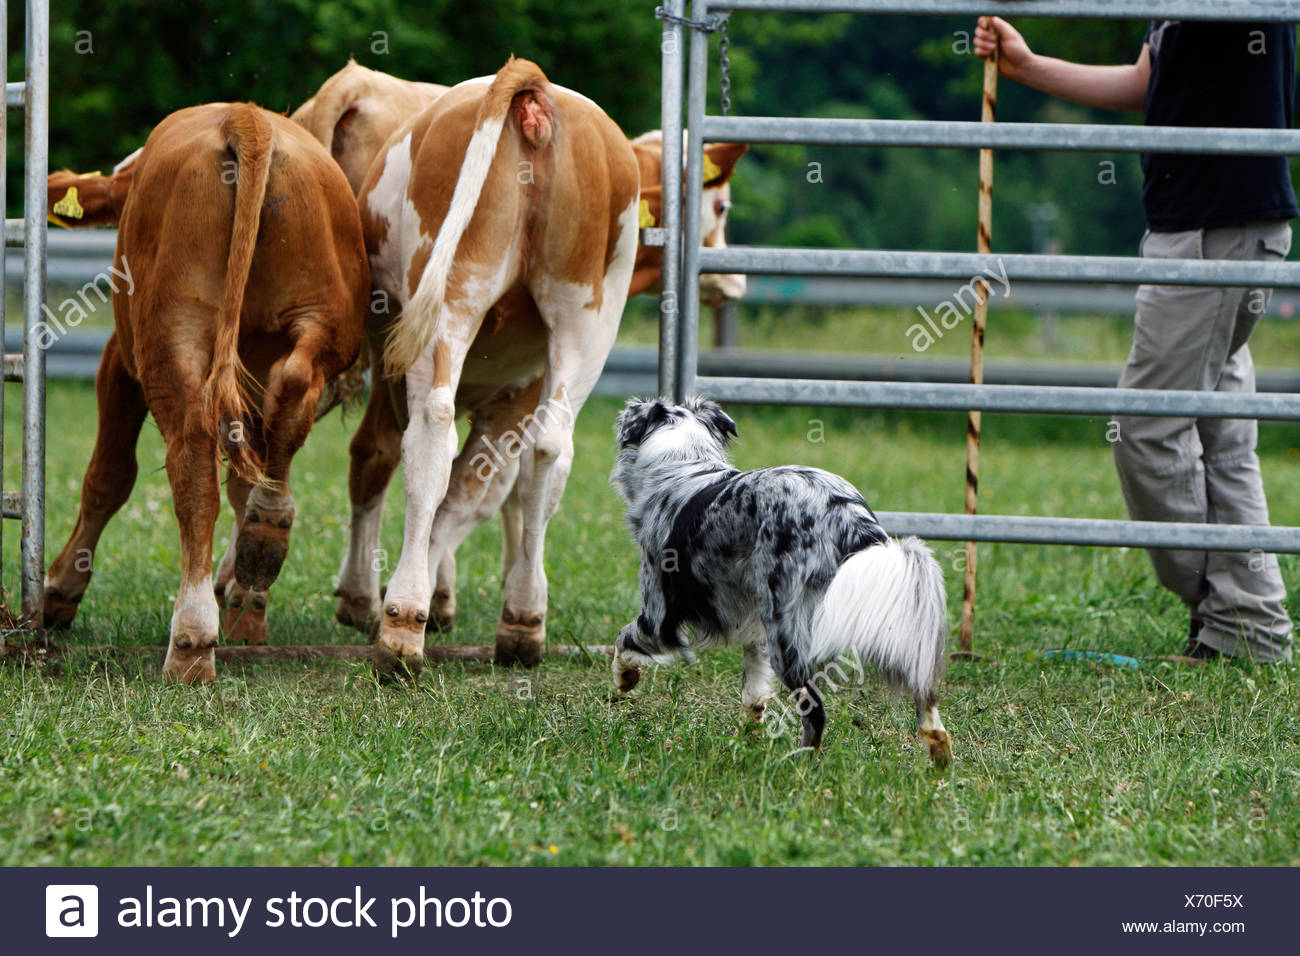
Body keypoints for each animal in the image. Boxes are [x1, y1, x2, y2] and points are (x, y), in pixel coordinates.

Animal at [43, 102, 369, 681]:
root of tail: (246, 118)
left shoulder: (119, 362)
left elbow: (107, 476)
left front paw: (61, 589)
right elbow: (242, 478)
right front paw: (247, 612)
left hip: (173, 338)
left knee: (192, 464)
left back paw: (192, 639)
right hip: (321, 321)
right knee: (291, 390)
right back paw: (266, 533)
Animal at [608, 398, 956, 770]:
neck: (683, 464)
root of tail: (848, 515)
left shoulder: (660, 618)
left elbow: (623, 639)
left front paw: (624, 678)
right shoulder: (756, 628)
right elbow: (754, 692)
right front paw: (746, 744)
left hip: (789, 637)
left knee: (815, 711)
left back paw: (801, 763)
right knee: (924, 693)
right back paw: (938, 755)